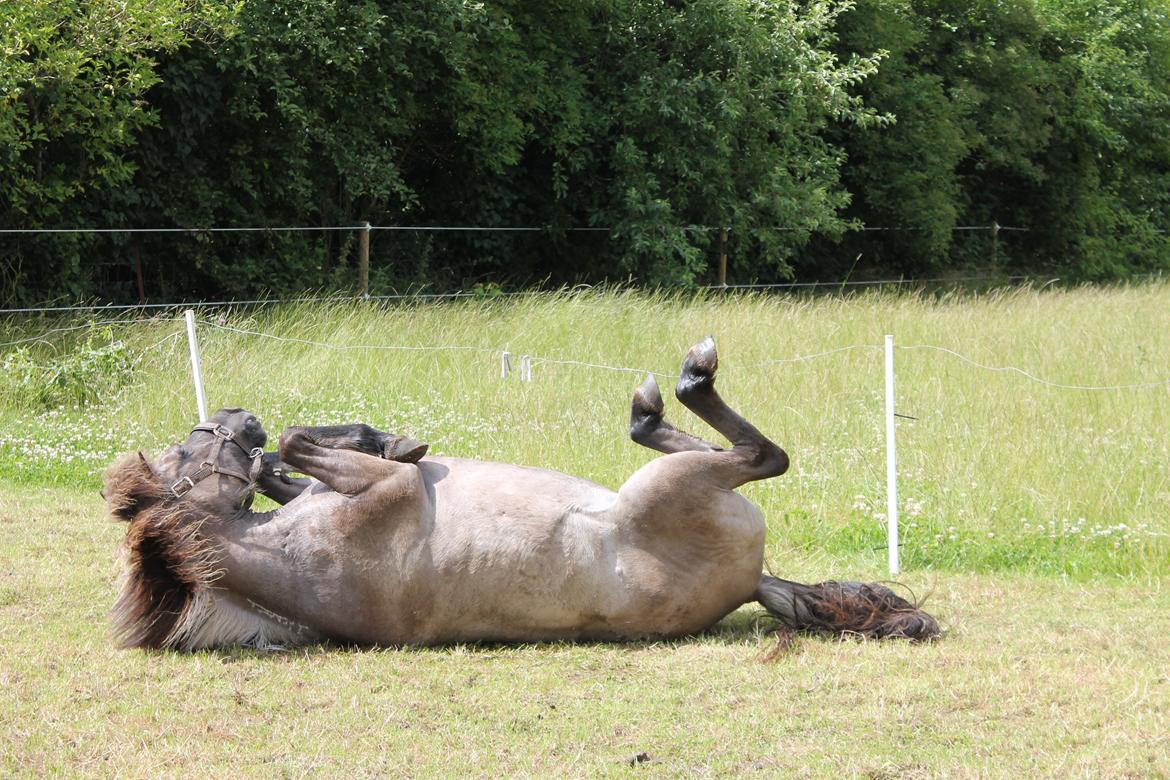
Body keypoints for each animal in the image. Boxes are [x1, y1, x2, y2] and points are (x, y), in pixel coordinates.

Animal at [102, 339, 940, 650]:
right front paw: (391, 441)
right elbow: (303, 440)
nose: (235, 418)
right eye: (185, 456)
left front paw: (382, 436)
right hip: (672, 489)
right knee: (760, 455)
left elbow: (291, 458)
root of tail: (752, 582)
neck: (289, 559)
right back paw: (684, 380)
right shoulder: (381, 493)